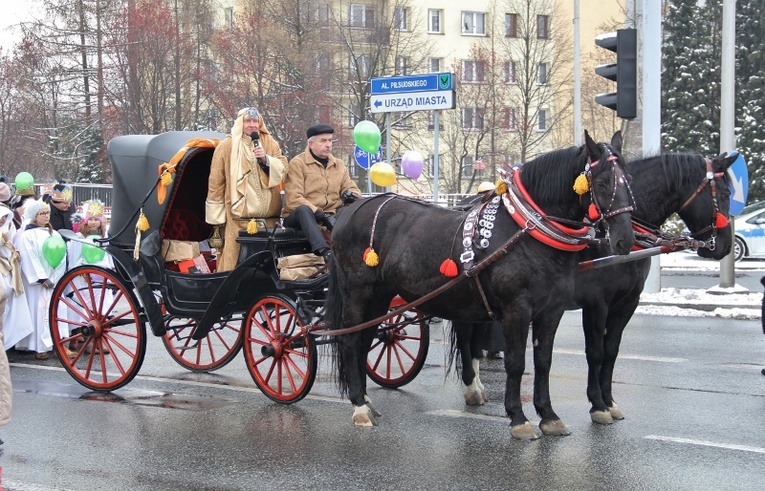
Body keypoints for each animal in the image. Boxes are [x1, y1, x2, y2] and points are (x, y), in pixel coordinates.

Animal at [322, 132, 632, 442]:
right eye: (602, 183)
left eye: (627, 179)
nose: (624, 241)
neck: (525, 230)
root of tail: (351, 209)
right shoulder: (517, 310)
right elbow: (516, 363)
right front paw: (518, 418)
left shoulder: (551, 311)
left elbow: (543, 362)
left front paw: (549, 416)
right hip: (358, 293)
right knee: (350, 342)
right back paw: (359, 407)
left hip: (380, 296)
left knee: (365, 340)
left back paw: (366, 401)